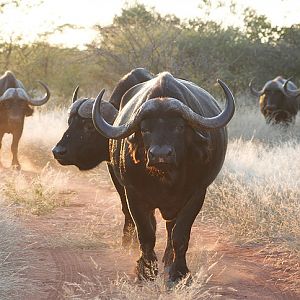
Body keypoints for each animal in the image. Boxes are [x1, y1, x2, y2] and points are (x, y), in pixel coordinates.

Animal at [51, 68, 154, 248]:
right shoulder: (116, 173)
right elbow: (126, 206)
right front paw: (127, 240)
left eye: (89, 126)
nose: (58, 151)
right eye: (70, 122)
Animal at [92, 71, 236, 284]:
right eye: (145, 129)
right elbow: (146, 234)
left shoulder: (197, 194)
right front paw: (146, 271)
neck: (166, 179)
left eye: (179, 127)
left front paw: (179, 273)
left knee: (170, 229)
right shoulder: (133, 195)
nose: (160, 154)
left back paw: (169, 259)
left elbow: (180, 235)